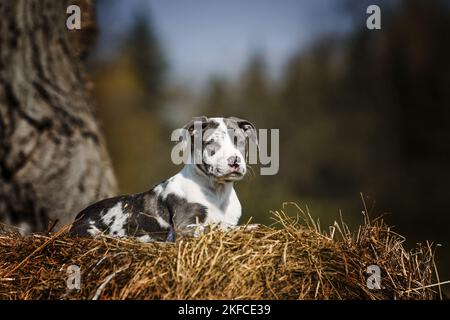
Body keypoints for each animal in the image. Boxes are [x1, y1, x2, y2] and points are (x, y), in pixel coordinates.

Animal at [67, 117, 256, 242]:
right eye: (211, 142)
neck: (217, 192)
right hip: (91, 231)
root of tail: (79, 216)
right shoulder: (184, 227)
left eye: (240, 141)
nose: (234, 161)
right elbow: (214, 227)